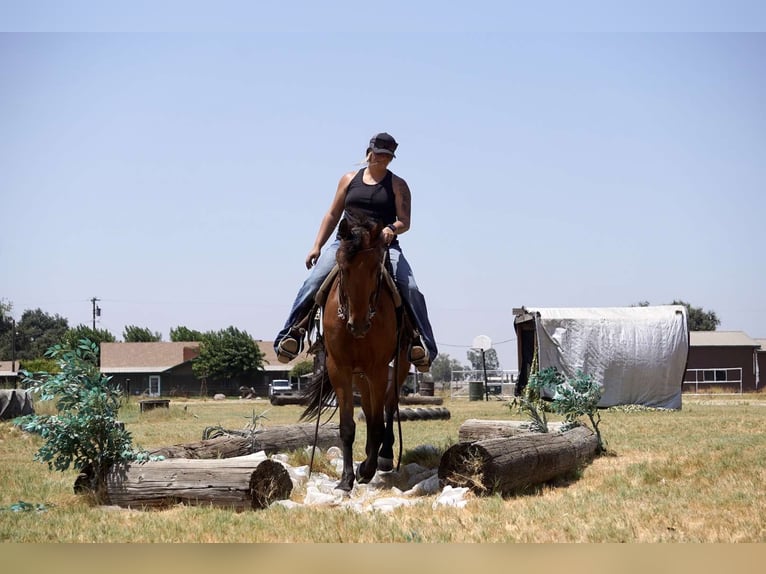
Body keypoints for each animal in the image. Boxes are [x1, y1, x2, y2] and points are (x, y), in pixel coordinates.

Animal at [302, 214, 414, 492]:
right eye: (343, 269)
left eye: (376, 270)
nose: (359, 324)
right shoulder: (340, 369)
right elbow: (348, 426)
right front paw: (346, 479)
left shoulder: (378, 369)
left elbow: (376, 424)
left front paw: (367, 469)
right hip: (360, 375)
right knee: (370, 406)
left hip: (398, 365)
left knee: (388, 406)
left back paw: (384, 456)